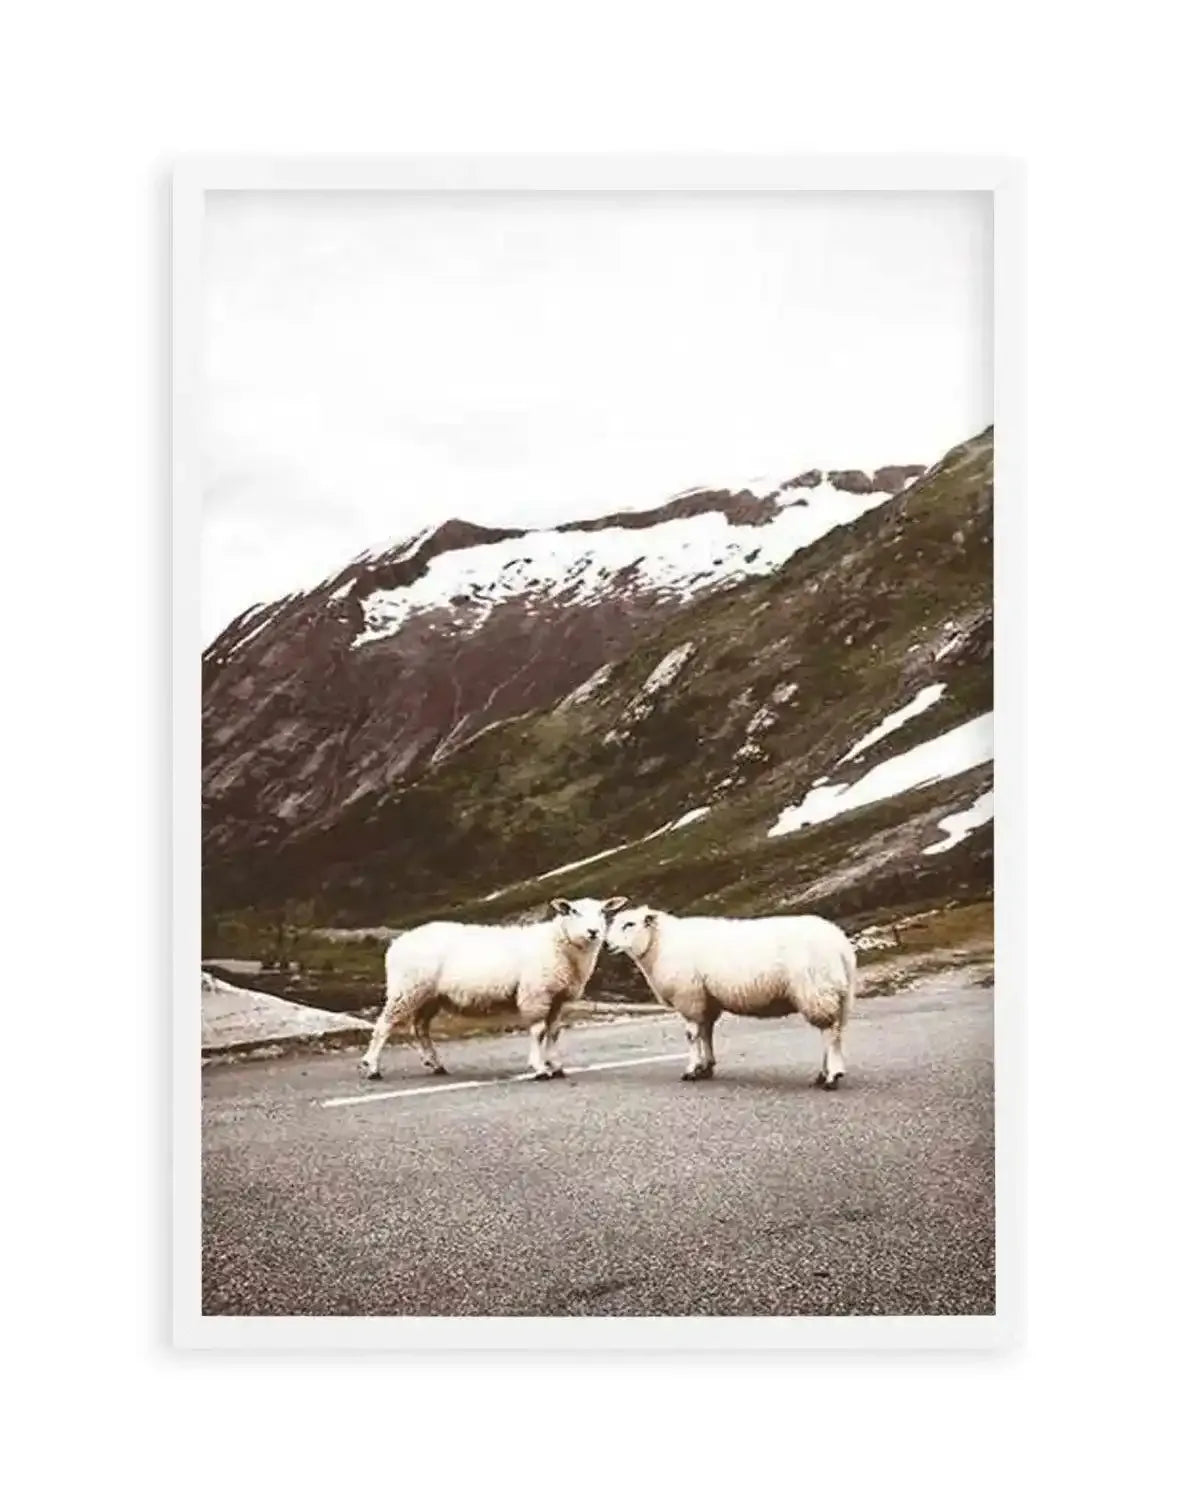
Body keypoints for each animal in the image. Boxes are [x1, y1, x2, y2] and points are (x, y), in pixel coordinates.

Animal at [358, 896, 628, 1081]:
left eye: (603, 911)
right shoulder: (535, 994)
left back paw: (436, 1064)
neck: (559, 945)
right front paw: (539, 1068)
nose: (593, 932)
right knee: (384, 1025)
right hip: (406, 988)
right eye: (573, 911)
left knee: (420, 1027)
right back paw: (372, 1067)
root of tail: (398, 942)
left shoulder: (557, 999)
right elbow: (539, 1031)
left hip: (430, 995)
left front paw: (556, 1066)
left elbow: (554, 1032)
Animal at [605, 907, 855, 1087]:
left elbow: (692, 1035)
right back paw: (824, 1074)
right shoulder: (706, 1000)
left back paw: (831, 1076)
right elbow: (706, 1033)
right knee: (835, 1032)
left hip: (817, 989)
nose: (607, 945)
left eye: (629, 924)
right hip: (837, 993)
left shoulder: (689, 997)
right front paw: (706, 1067)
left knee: (829, 1033)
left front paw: (691, 1070)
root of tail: (841, 944)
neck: (660, 945)